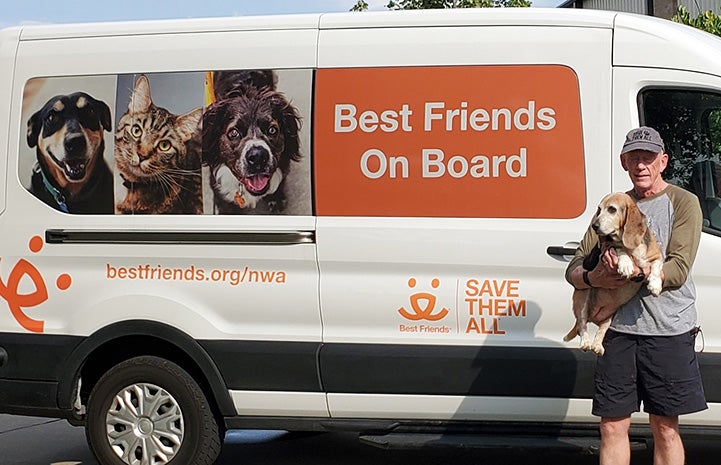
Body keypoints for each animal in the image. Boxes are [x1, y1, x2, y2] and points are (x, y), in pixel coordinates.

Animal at [564, 192, 660, 356]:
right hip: (583, 297)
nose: (594, 226)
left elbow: (656, 267)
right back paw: (586, 343)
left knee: (601, 329)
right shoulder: (606, 250)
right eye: (599, 209)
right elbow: (618, 248)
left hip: (610, 317)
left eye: (612, 209)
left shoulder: (656, 256)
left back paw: (597, 345)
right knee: (582, 325)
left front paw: (655, 285)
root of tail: (592, 317)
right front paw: (626, 263)